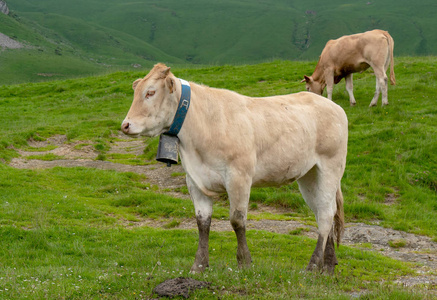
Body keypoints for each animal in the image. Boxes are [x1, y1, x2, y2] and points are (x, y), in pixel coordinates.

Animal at [122, 63, 348, 274]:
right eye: (136, 91)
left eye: (150, 92)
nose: (125, 125)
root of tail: (332, 105)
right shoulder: (194, 180)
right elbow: (202, 222)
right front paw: (199, 265)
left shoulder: (239, 176)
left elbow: (237, 221)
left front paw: (244, 263)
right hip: (308, 175)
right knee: (323, 211)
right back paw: (328, 265)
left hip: (330, 166)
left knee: (326, 214)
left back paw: (313, 266)